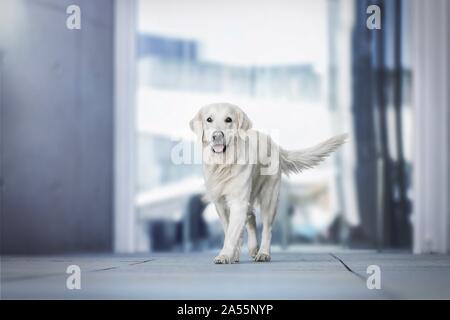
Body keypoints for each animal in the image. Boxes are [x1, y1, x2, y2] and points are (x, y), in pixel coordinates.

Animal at [190, 104, 348, 264]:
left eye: (228, 119)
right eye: (209, 119)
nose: (217, 135)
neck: (224, 164)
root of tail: (274, 144)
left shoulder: (238, 202)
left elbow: (231, 234)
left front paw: (224, 255)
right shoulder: (220, 203)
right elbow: (230, 229)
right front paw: (231, 255)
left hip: (269, 198)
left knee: (267, 228)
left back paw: (263, 253)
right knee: (251, 217)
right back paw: (249, 250)